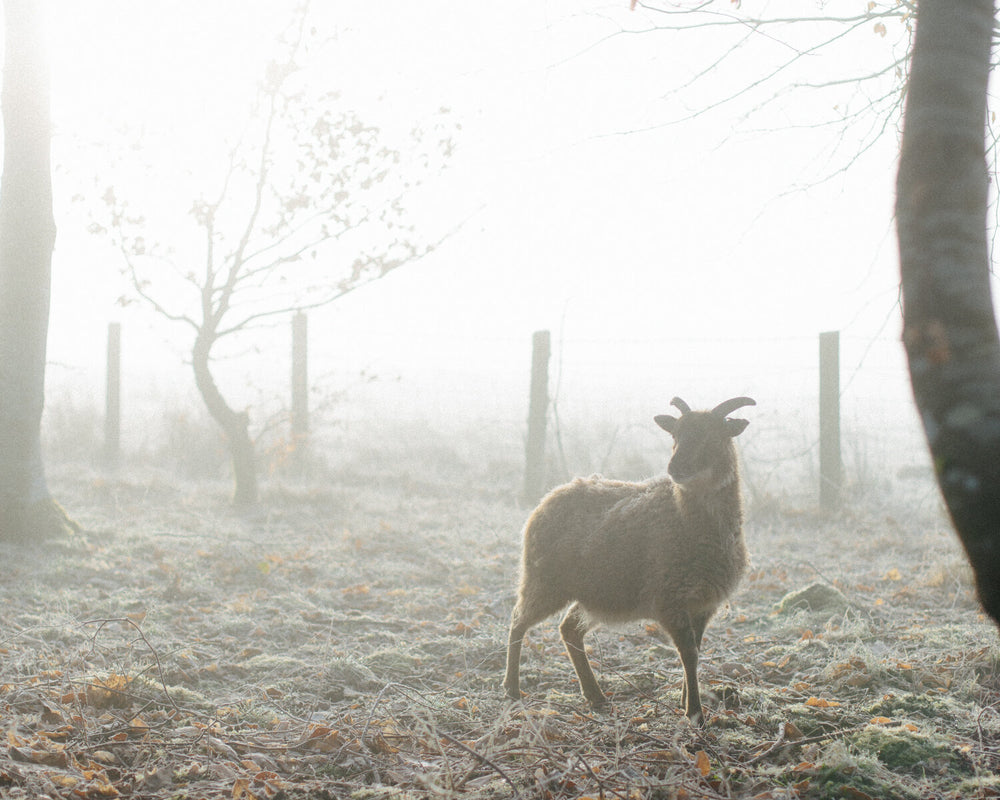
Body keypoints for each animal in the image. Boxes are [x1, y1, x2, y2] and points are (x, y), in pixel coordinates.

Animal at [504, 396, 752, 720]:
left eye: (715, 435)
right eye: (675, 435)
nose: (676, 468)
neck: (686, 521)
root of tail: (547, 498)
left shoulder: (703, 604)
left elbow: (696, 651)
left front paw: (685, 700)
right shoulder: (669, 600)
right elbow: (688, 654)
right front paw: (694, 713)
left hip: (593, 592)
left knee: (568, 629)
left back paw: (595, 696)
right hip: (543, 579)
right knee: (518, 620)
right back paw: (511, 688)